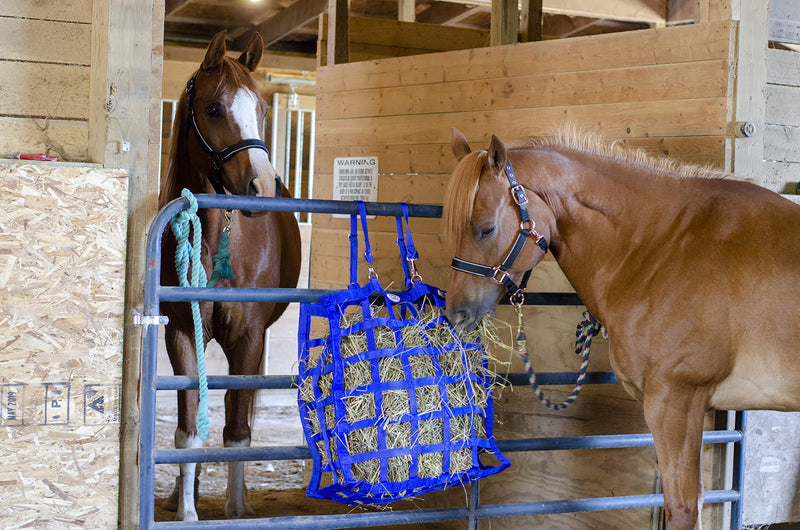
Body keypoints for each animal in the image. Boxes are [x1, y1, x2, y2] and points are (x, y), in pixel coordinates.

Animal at [158, 31, 302, 516]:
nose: (262, 185)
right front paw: (187, 511)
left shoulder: (248, 338)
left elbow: (238, 432)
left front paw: (237, 510)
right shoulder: (183, 333)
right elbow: (187, 433)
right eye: (214, 108)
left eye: (261, 108)